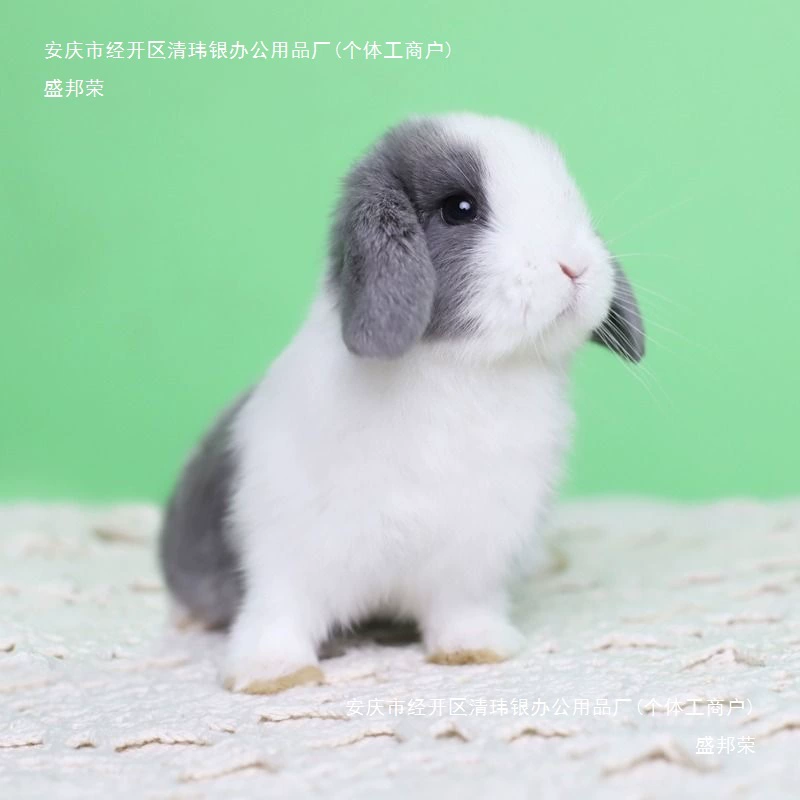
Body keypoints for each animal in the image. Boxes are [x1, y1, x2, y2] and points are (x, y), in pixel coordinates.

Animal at [159, 112, 645, 694]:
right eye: (460, 209)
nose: (575, 266)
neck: (462, 371)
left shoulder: (471, 559)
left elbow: (461, 610)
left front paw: (476, 649)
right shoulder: (286, 551)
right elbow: (278, 615)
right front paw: (272, 674)